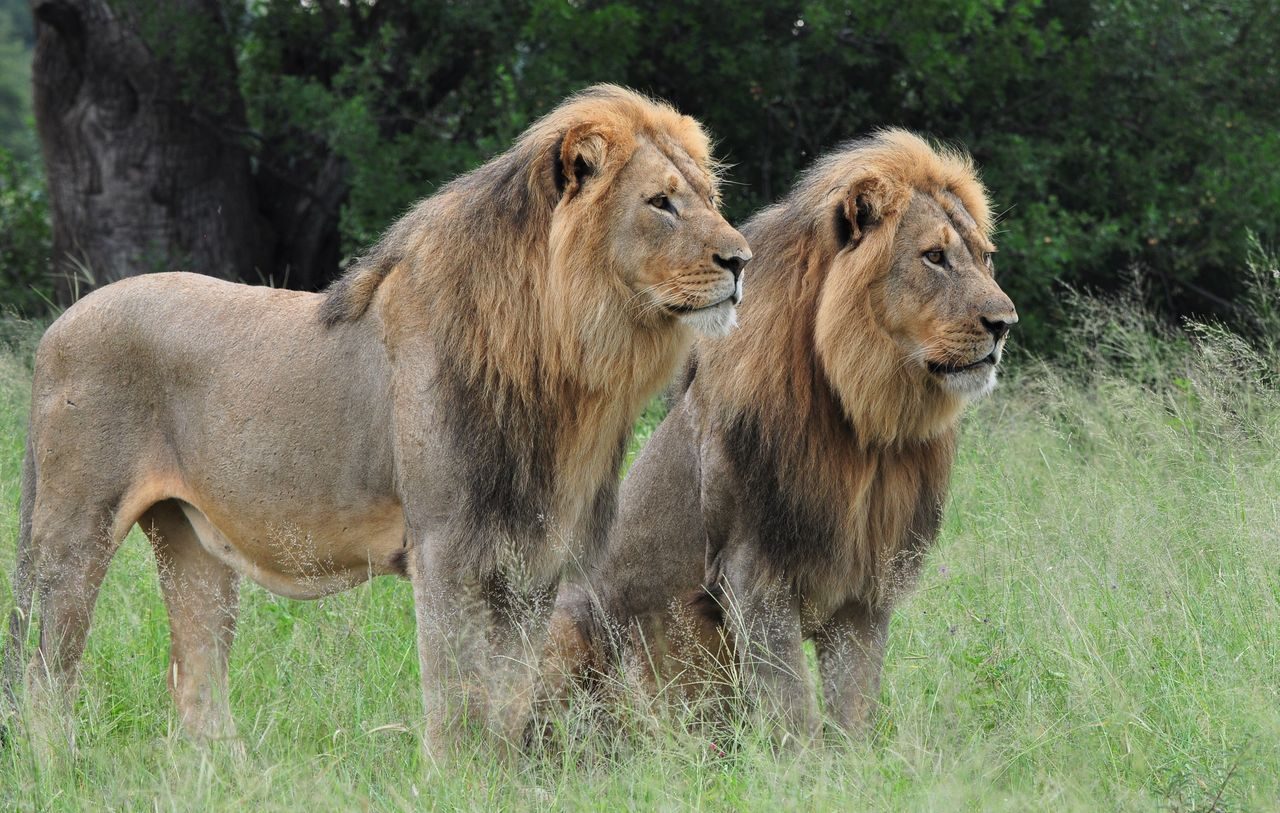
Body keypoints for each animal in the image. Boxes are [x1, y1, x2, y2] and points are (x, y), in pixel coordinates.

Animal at [1, 85, 750, 756]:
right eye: (661, 202)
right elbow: (455, 700)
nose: (742, 260)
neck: (571, 365)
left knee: (196, 689)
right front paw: (455, 782)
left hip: (190, 542)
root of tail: (58, 326)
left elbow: (508, 702)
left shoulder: (533, 557)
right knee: (45, 672)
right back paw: (57, 767)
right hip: (73, 533)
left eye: (709, 199)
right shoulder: (447, 546)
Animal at [545, 129, 1016, 740]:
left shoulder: (865, 592)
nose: (1005, 324)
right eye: (934, 257)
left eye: (985, 258)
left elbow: (852, 713)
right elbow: (793, 711)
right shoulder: (753, 577)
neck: (867, 431)